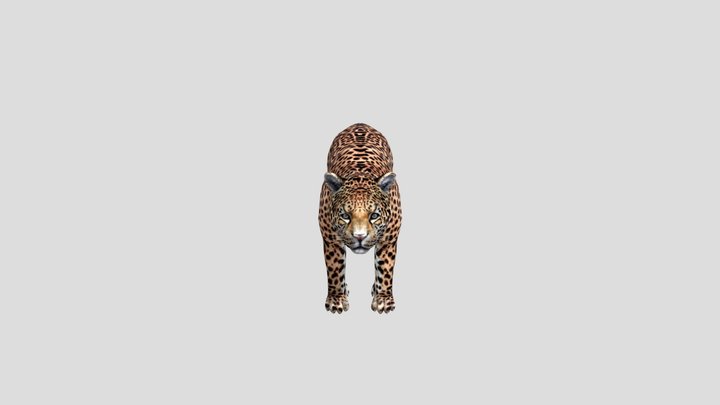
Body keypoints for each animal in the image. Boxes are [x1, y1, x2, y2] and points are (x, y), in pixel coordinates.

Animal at [318, 123, 402, 314]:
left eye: (374, 216)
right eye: (345, 216)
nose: (359, 237)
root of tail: (360, 123)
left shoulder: (389, 238)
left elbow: (385, 269)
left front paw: (383, 299)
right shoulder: (330, 238)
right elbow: (335, 270)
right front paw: (337, 299)